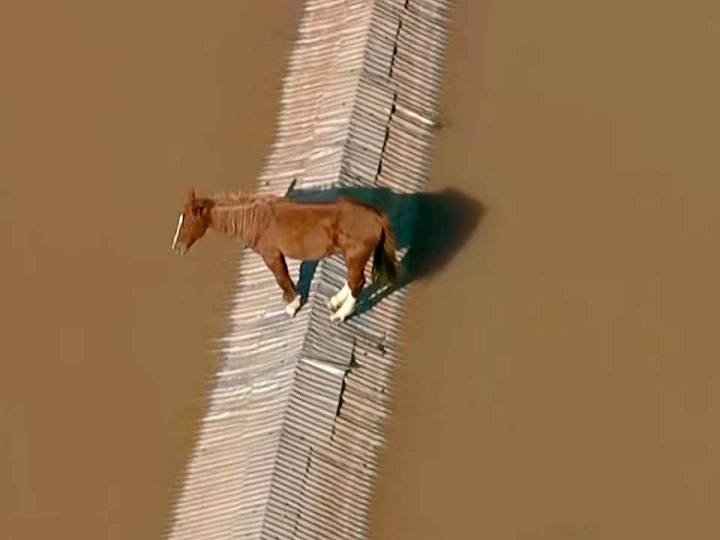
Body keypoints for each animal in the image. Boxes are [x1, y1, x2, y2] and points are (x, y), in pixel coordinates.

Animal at [171, 188, 399, 323]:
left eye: (187, 221)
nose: (177, 247)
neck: (255, 219)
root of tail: (377, 217)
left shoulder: (271, 255)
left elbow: (281, 278)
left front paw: (292, 305)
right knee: (354, 281)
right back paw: (334, 302)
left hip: (355, 256)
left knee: (357, 282)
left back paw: (340, 314)